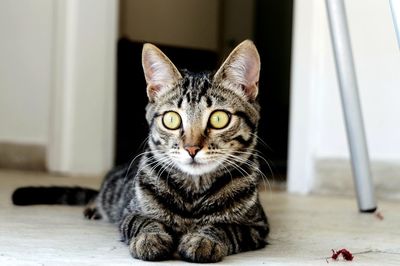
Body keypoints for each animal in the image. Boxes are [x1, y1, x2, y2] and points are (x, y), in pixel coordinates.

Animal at [12, 40, 268, 262]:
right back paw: (94, 207)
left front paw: (204, 240)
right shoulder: (130, 213)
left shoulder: (257, 226)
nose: (191, 148)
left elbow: (226, 227)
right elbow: (144, 222)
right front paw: (151, 238)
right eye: (172, 119)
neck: (193, 193)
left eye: (219, 118)